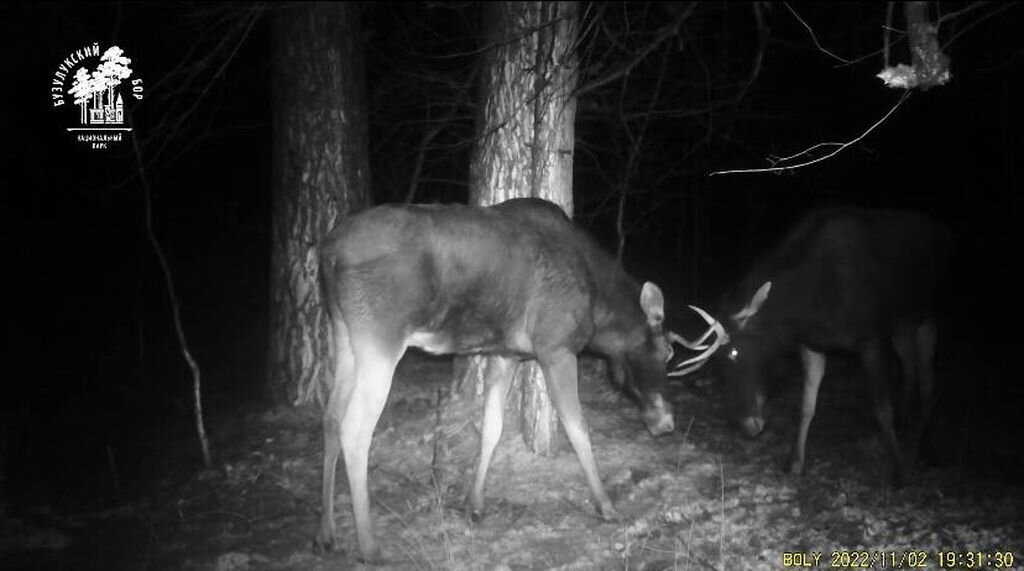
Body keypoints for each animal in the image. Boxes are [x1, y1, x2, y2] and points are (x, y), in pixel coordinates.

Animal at [315, 198, 724, 564]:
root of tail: (328, 253)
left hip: (343, 334)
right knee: (355, 428)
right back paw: (369, 546)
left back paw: (327, 534)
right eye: (666, 354)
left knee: (331, 417)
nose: (666, 423)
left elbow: (492, 427)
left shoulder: (505, 353)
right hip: (380, 337)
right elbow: (578, 428)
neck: (598, 310)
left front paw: (474, 503)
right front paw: (606, 506)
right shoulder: (556, 347)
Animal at [720, 209, 950, 487]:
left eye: (734, 352)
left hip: (929, 315)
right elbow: (806, 406)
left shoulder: (869, 339)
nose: (745, 424)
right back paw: (906, 422)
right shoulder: (812, 345)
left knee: (928, 378)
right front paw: (795, 462)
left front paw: (898, 472)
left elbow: (882, 408)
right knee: (910, 367)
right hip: (902, 326)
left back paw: (926, 448)